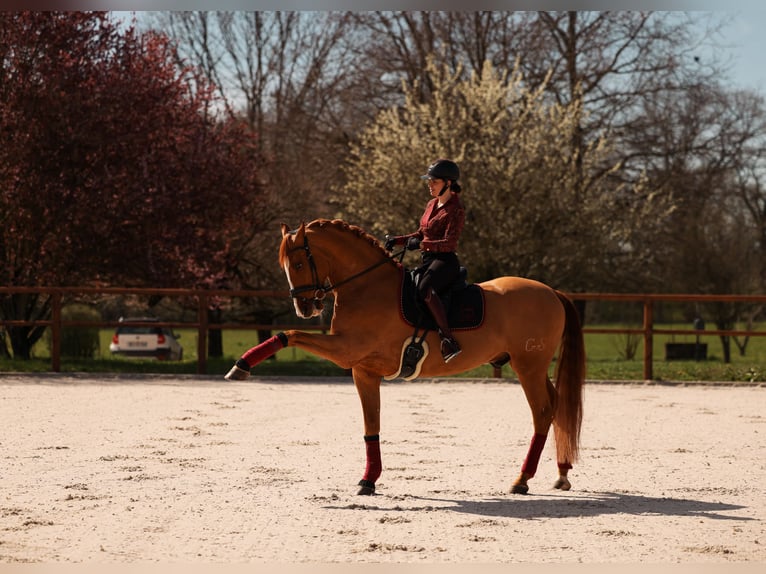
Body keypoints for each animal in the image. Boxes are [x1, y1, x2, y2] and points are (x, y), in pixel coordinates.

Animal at [225, 218, 584, 498]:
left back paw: (522, 480)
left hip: (528, 367)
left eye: (299, 264)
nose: (304, 307)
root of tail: (551, 292)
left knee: (542, 412)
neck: (367, 286)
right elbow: (371, 425)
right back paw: (561, 474)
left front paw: (242, 365)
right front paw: (368, 480)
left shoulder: (346, 351)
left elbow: (290, 334)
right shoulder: (363, 370)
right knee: (557, 407)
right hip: (534, 367)